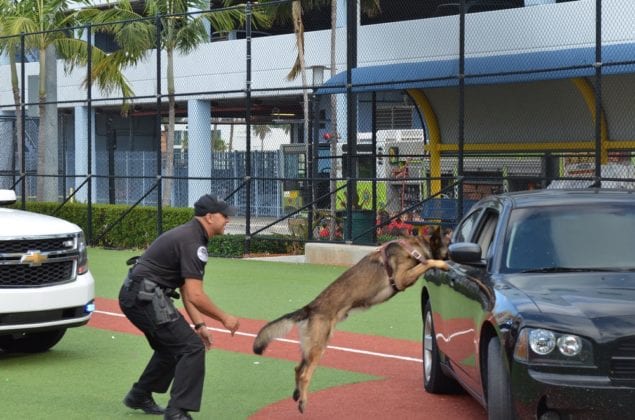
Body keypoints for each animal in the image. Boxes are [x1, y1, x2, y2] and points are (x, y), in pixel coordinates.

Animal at [251, 236, 450, 414]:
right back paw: (303, 402)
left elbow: (424, 263)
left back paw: (297, 394)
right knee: (305, 375)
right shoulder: (402, 278)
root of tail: (310, 307)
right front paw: (442, 264)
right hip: (318, 347)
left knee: (298, 368)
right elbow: (426, 263)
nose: (453, 256)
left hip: (311, 346)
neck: (411, 247)